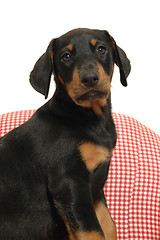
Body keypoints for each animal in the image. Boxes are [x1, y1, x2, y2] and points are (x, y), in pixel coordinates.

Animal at [0, 27, 131, 238]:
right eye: (66, 56)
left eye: (101, 49)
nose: (89, 78)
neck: (88, 117)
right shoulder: (69, 181)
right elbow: (92, 232)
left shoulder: (95, 188)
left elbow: (108, 226)